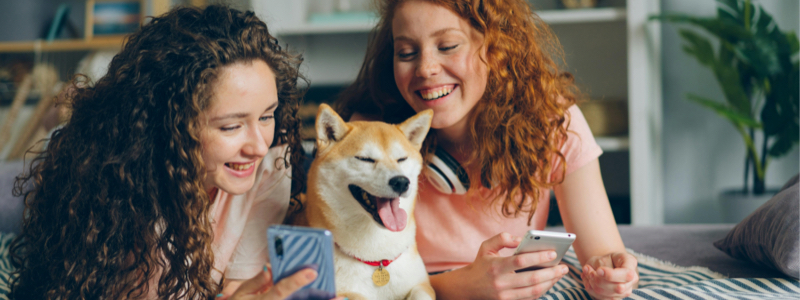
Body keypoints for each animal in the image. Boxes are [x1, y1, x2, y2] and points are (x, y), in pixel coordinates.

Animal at [302, 103, 438, 300]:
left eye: (402, 159)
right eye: (365, 159)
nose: (401, 182)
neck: (377, 258)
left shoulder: (421, 284)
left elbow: (421, 294)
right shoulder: (343, 292)